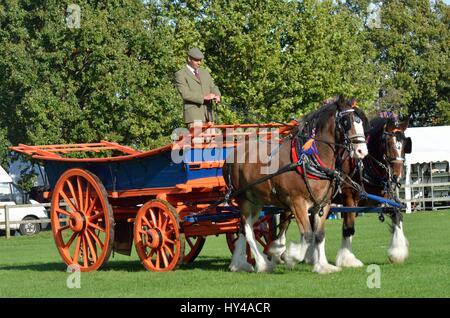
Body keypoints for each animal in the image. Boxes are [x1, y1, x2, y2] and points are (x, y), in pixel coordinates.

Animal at [224, 97, 370, 274]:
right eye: (346, 121)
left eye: (361, 121)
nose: (362, 151)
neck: (309, 159)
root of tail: (233, 154)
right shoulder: (297, 203)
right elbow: (307, 235)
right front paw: (288, 255)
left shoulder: (323, 204)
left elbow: (319, 234)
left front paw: (323, 266)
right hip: (243, 200)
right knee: (248, 231)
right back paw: (262, 264)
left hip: (256, 201)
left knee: (243, 228)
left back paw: (238, 264)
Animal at [338, 114, 412, 266]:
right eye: (388, 143)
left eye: (404, 145)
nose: (397, 176)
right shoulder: (349, 198)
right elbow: (348, 228)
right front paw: (347, 259)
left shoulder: (384, 198)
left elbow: (396, 214)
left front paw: (397, 252)